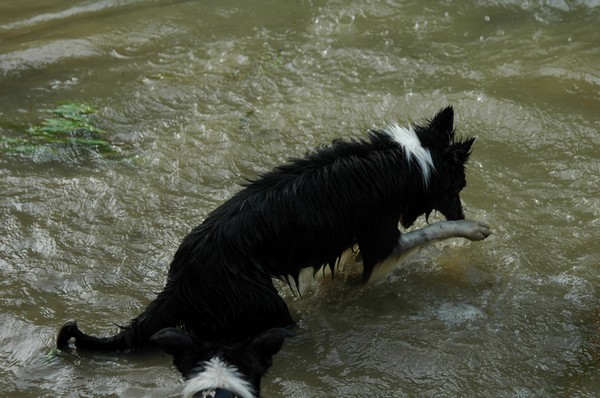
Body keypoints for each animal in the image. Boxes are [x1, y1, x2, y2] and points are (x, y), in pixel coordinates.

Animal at [56, 105, 488, 388]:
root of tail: (179, 282)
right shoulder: (381, 241)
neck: (412, 158)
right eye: (459, 186)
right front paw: (473, 227)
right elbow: (429, 234)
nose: (460, 209)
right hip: (267, 308)